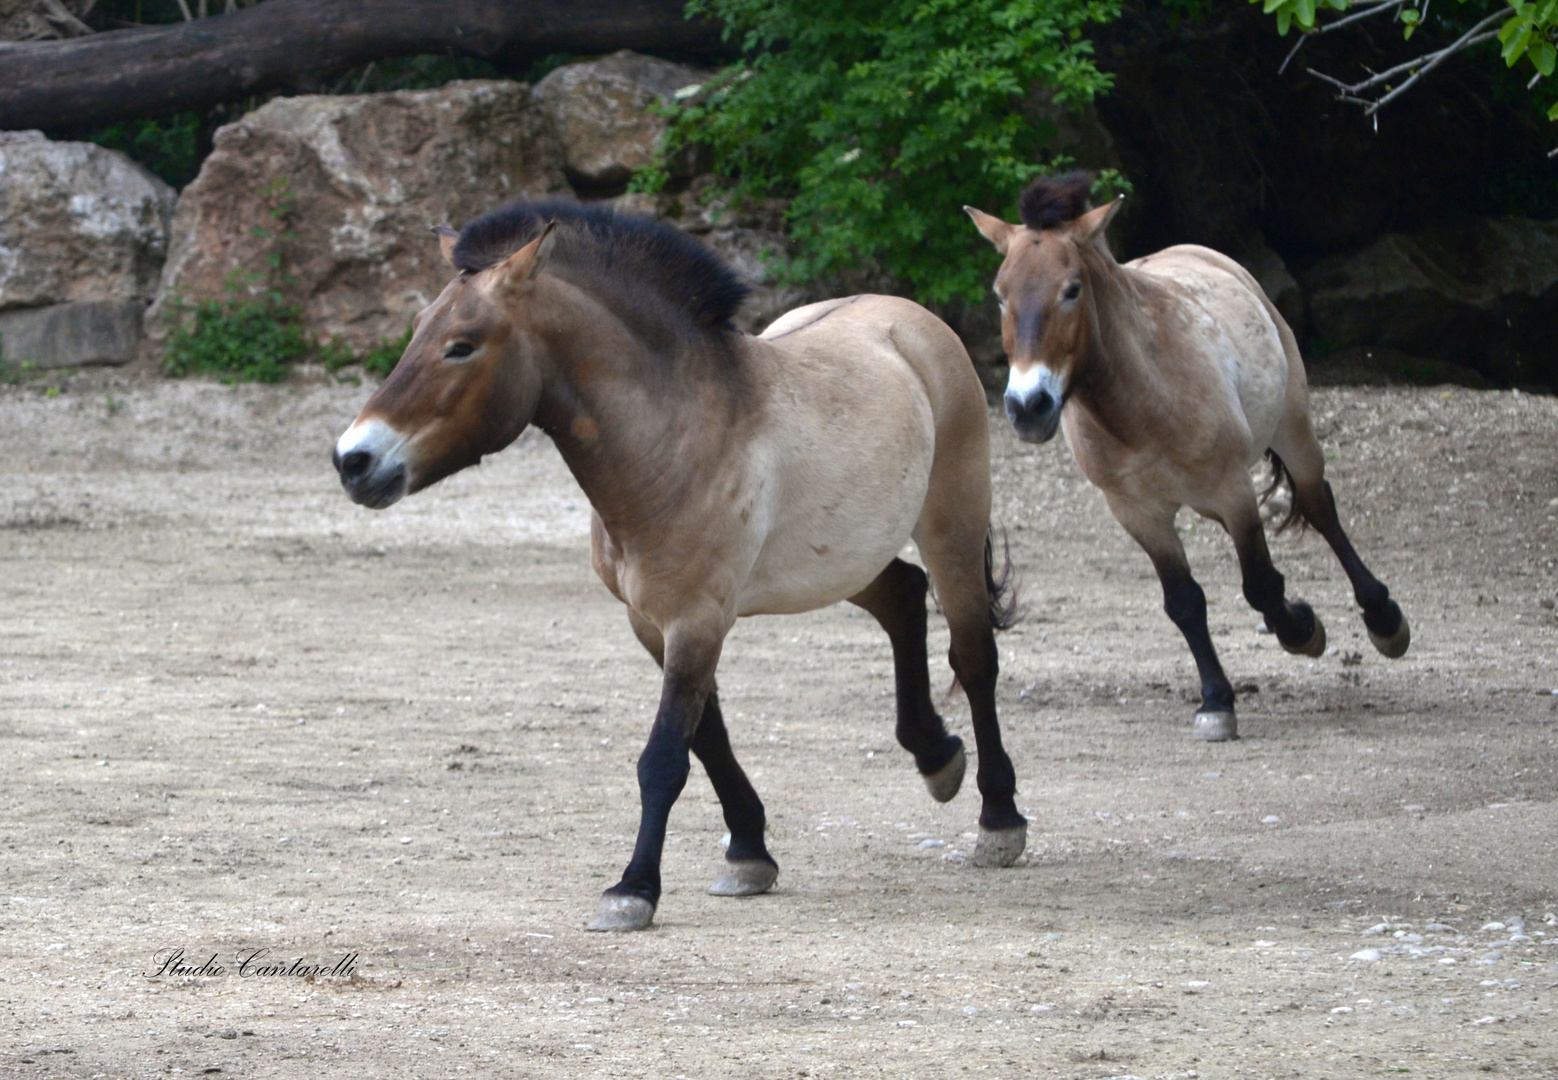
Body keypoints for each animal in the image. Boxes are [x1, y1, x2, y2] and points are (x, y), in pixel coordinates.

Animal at [334, 199, 1028, 928]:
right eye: (418, 330)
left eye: (463, 344)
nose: (353, 460)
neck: (676, 439)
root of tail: (915, 323)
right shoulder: (655, 622)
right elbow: (707, 737)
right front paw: (748, 850)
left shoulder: (696, 620)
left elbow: (665, 755)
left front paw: (633, 888)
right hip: (845, 560)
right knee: (902, 597)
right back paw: (936, 756)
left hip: (951, 527)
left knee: (974, 658)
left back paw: (999, 818)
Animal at [959, 174, 1414, 741]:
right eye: (1000, 296)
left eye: (1072, 289)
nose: (1027, 406)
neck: (1140, 403)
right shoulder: (1137, 513)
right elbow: (1185, 602)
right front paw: (1217, 700)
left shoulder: (1231, 489)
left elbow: (1261, 584)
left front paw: (1301, 630)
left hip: (1294, 432)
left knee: (1319, 508)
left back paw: (1383, 619)